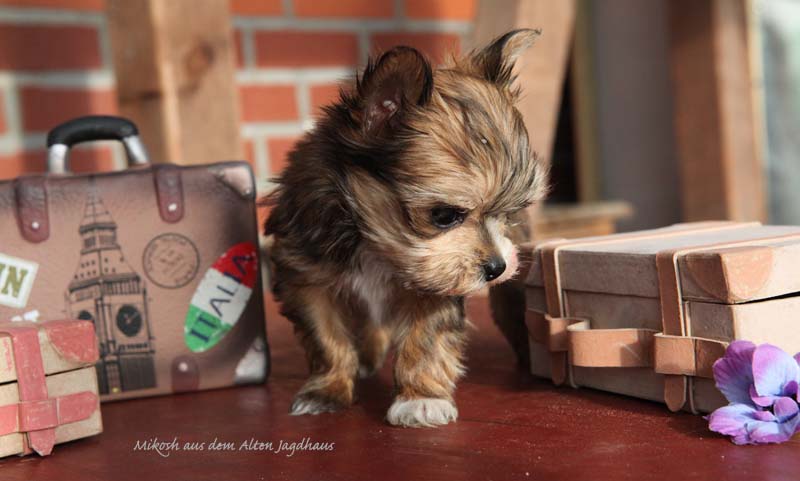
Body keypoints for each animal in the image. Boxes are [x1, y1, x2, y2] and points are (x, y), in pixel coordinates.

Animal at [266, 28, 548, 426]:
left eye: (509, 212)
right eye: (445, 215)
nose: (496, 267)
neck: (374, 243)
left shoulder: (437, 284)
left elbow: (424, 339)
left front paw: (420, 399)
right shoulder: (307, 276)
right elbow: (326, 337)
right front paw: (326, 389)